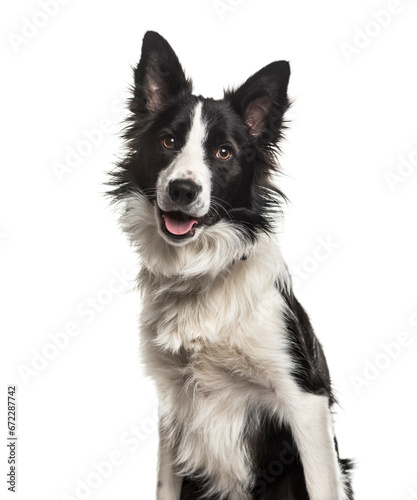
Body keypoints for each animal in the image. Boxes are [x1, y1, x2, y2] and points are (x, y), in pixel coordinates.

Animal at [107, 31, 352, 500]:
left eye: (223, 152)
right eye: (168, 142)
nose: (182, 190)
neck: (200, 271)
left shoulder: (304, 399)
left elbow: (321, 484)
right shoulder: (172, 404)